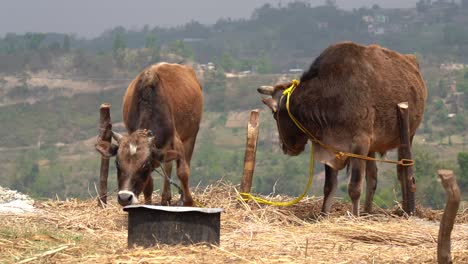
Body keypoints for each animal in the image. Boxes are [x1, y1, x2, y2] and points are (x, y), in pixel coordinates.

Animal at [95, 63, 203, 207]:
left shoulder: (176, 140)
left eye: (145, 164)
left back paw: (179, 198)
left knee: (184, 163)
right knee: (168, 166)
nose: (124, 197)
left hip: (191, 135)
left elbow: (183, 172)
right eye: (117, 163)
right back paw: (165, 198)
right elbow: (148, 185)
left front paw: (188, 202)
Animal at [258, 42, 426, 216]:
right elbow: (329, 187)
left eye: (274, 114)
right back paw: (367, 212)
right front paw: (323, 215)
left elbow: (354, 188)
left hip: (407, 136)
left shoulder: (359, 144)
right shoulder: (331, 147)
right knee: (372, 177)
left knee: (403, 172)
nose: (285, 147)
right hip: (373, 146)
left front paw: (354, 216)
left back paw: (405, 210)